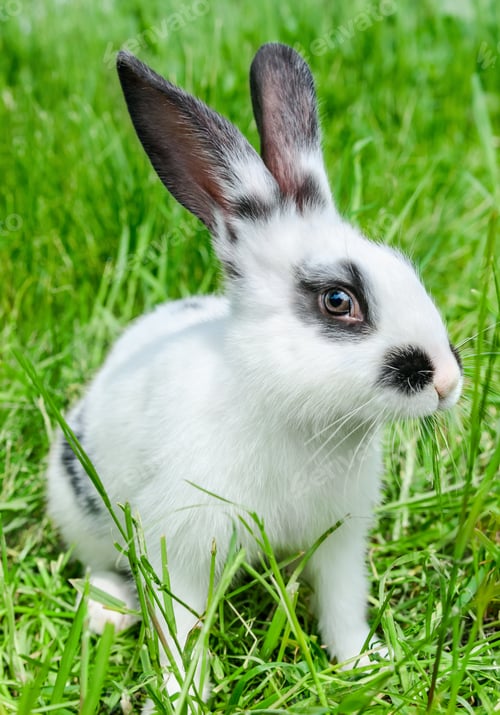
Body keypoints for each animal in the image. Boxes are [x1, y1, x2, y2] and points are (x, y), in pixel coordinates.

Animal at [47, 42, 463, 706]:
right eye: (339, 301)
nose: (447, 382)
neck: (289, 414)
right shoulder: (183, 547)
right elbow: (183, 629)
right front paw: (184, 697)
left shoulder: (340, 541)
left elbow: (342, 608)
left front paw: (365, 664)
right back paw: (108, 610)